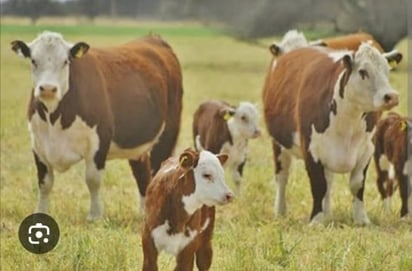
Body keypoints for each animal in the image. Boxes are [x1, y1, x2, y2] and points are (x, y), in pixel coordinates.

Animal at [10, 30, 183, 220]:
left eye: (65, 61)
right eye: (33, 60)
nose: (48, 88)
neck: (55, 118)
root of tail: (152, 38)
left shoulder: (99, 140)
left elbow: (92, 179)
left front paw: (94, 215)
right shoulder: (38, 143)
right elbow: (44, 182)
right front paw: (40, 213)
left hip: (168, 133)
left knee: (159, 170)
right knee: (143, 173)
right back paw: (144, 213)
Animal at [262, 42, 400, 225]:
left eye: (387, 70)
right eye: (363, 71)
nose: (391, 96)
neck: (348, 121)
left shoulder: (366, 150)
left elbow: (356, 184)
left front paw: (361, 219)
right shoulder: (311, 149)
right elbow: (318, 185)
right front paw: (316, 220)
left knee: (329, 181)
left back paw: (327, 213)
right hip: (279, 143)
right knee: (282, 176)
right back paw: (280, 211)